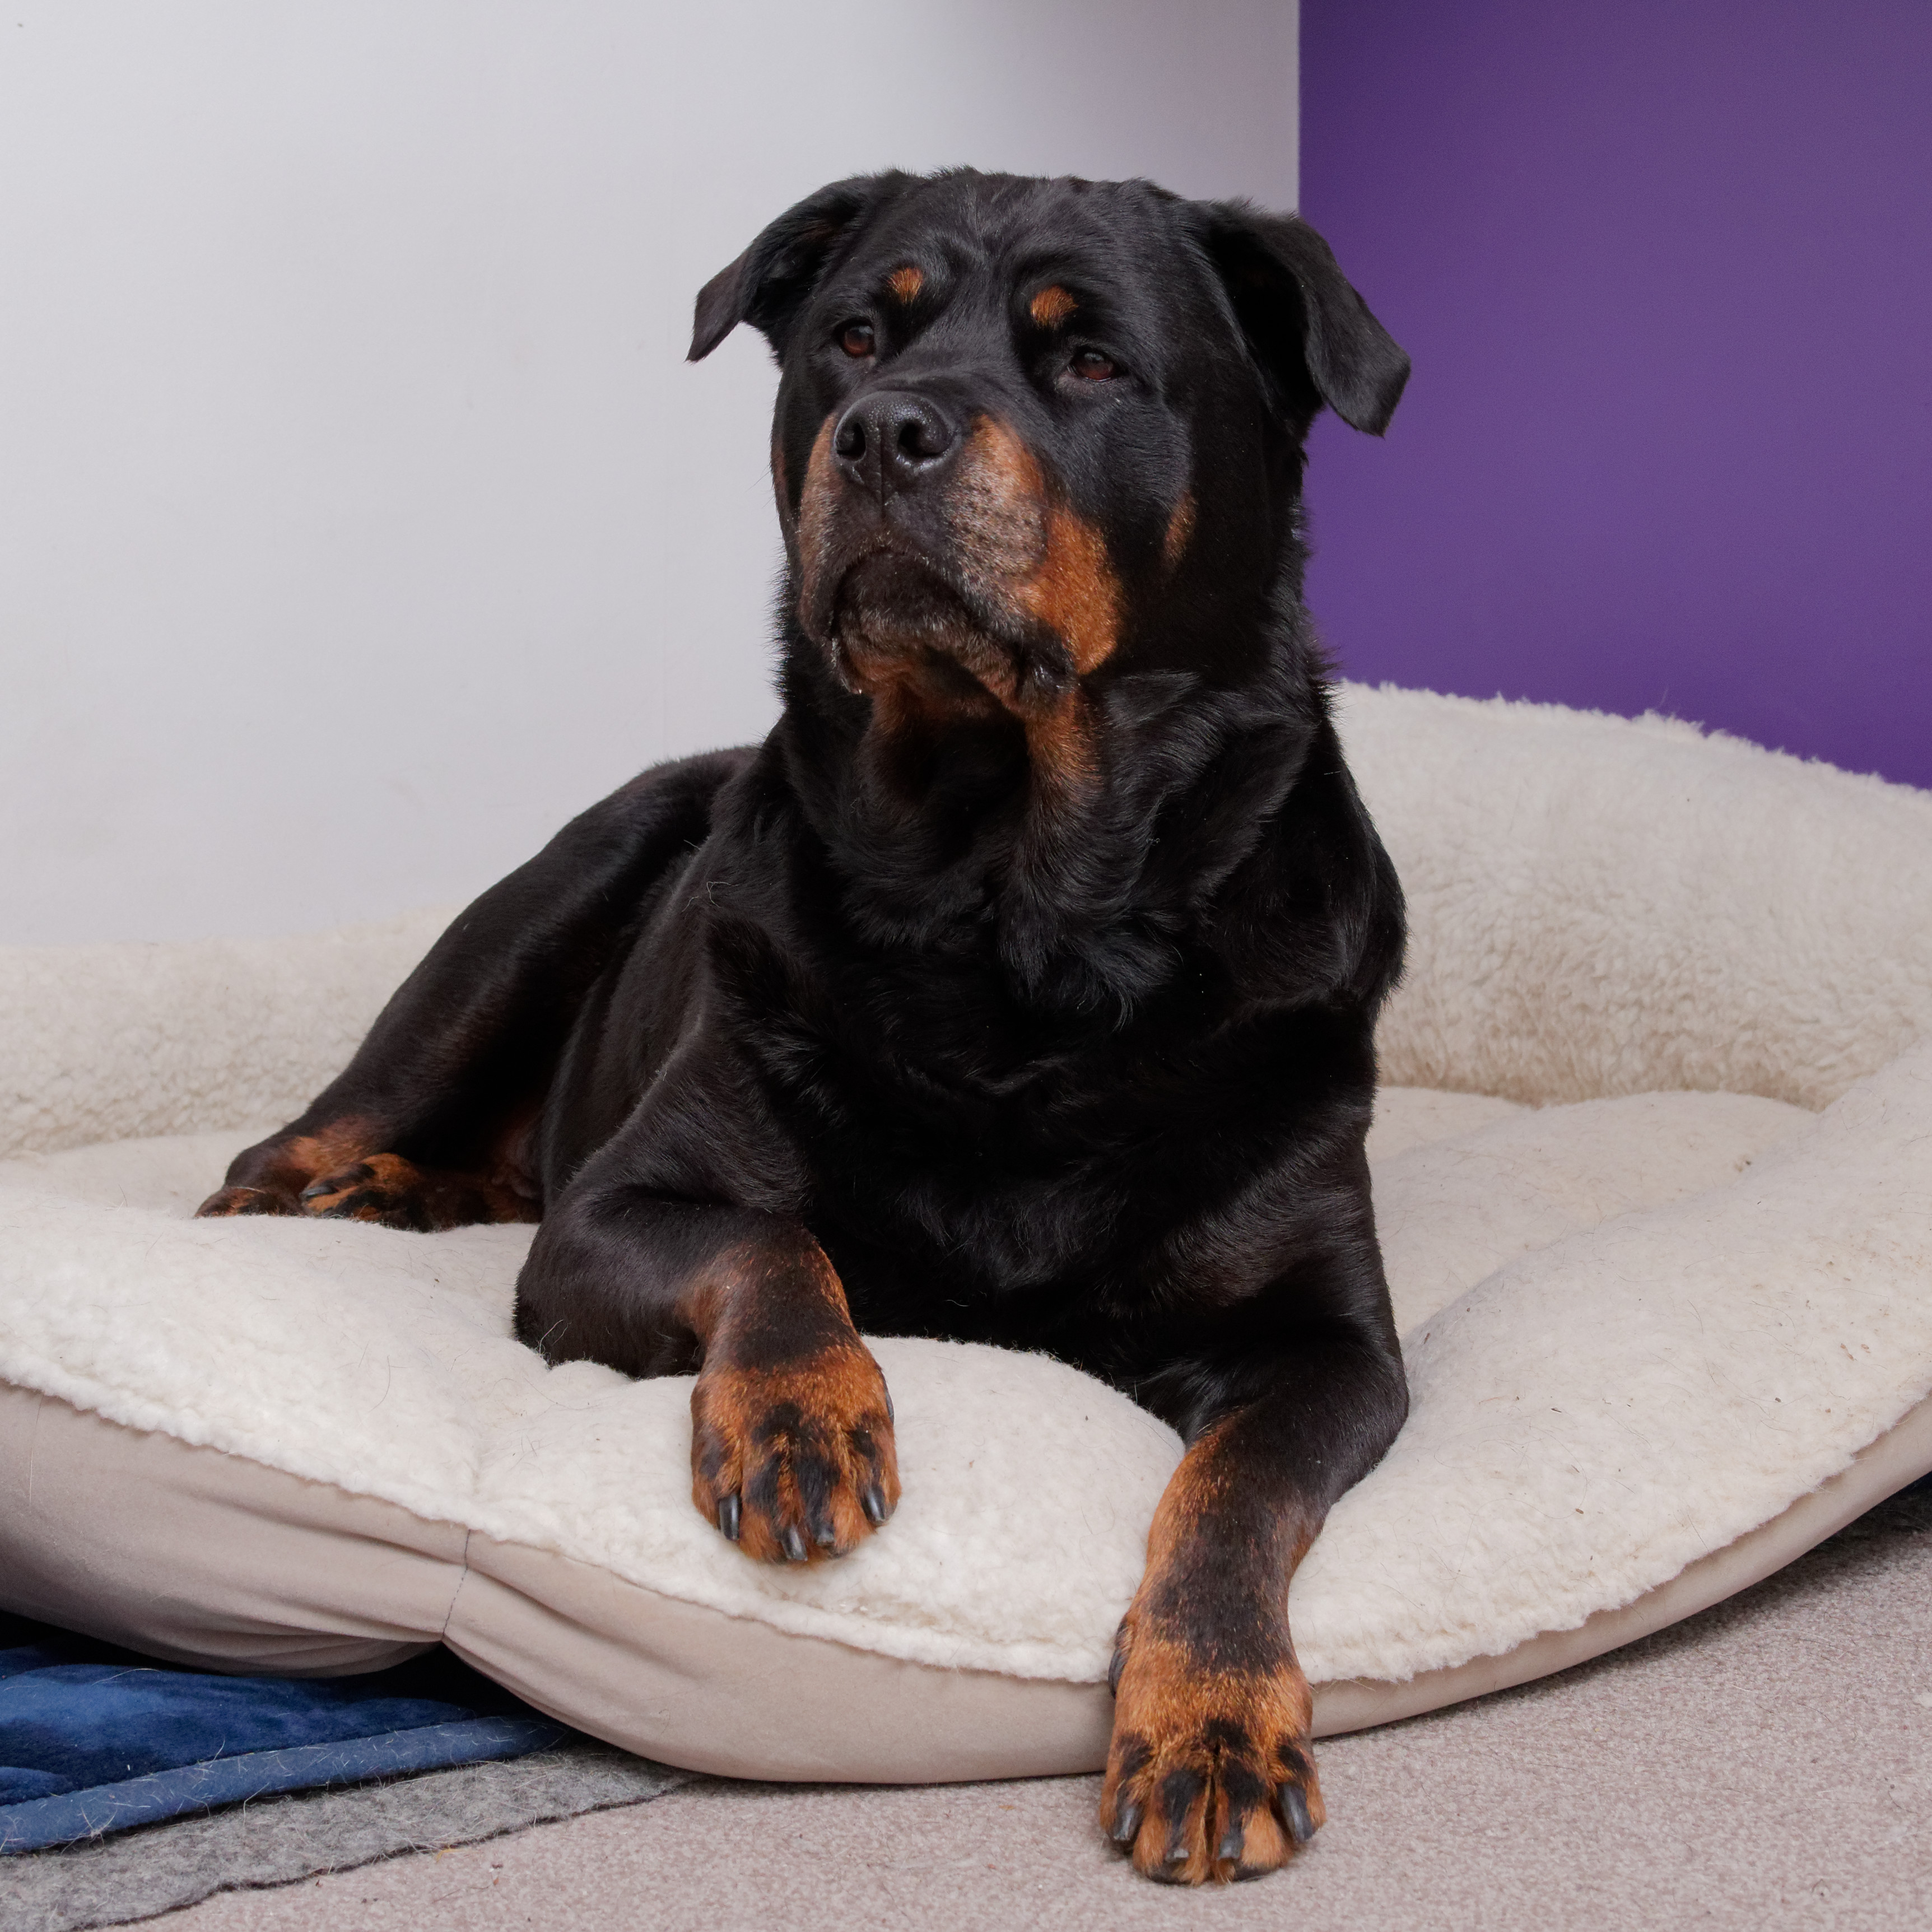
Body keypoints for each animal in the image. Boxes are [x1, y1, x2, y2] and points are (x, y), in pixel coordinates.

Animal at [199, 174, 1406, 1878]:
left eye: (1091, 360)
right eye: (852, 338)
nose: (886, 431)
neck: (1014, 912)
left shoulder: (1330, 1343)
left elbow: (1232, 1494)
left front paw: (1212, 1715)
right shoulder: (610, 1216)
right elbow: (773, 1241)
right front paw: (798, 1415)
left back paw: (404, 1195)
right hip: (551, 894)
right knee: (321, 1126)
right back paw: (303, 1197)